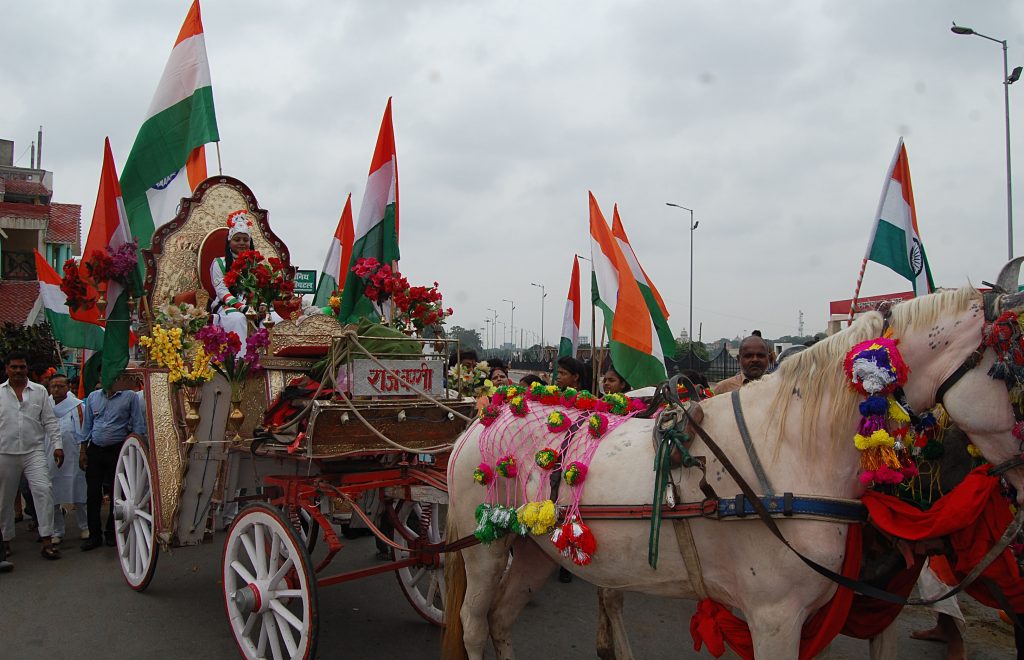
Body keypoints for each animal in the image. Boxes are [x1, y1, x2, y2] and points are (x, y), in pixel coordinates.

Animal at [440, 284, 1024, 658]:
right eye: (1011, 373)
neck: (790, 448)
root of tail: (488, 413)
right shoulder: (774, 617)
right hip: (484, 546)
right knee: (474, 625)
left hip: (534, 549)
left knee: (501, 620)